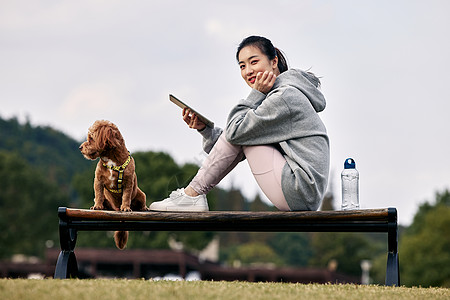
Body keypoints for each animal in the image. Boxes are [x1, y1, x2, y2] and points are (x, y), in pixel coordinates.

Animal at [78, 119, 146, 248]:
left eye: (91, 138)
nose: (80, 147)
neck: (111, 161)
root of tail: (115, 208)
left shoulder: (128, 182)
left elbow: (126, 196)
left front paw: (125, 207)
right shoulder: (98, 180)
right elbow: (98, 194)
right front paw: (97, 206)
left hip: (141, 194)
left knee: (141, 202)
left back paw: (144, 208)